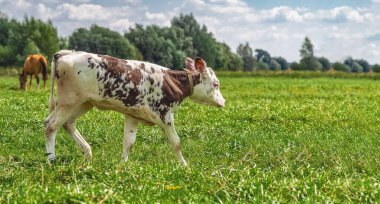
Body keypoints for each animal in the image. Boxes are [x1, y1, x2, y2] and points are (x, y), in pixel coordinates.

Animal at [43, 49, 226, 166]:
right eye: (216, 84)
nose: (223, 102)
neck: (170, 82)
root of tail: (65, 53)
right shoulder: (166, 116)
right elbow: (176, 143)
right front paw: (185, 165)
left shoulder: (133, 115)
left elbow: (128, 143)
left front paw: (122, 165)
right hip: (68, 101)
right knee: (51, 126)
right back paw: (51, 159)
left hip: (83, 103)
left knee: (67, 124)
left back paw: (87, 152)